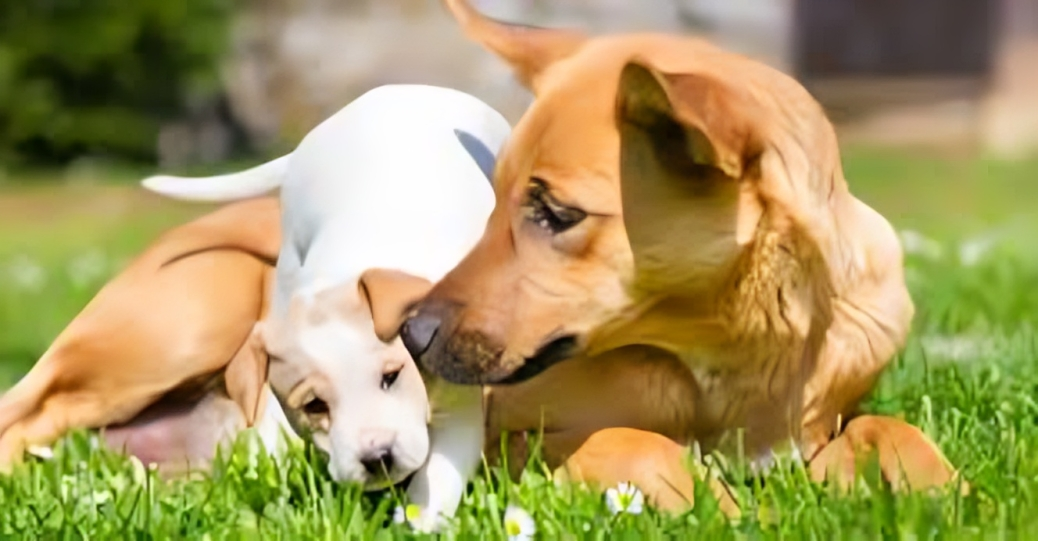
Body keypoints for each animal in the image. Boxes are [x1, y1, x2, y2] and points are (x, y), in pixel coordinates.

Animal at [142, 84, 511, 529]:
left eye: (391, 377)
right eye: (315, 405)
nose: (378, 456)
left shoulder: (458, 406)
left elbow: (436, 476)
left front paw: (419, 523)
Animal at [399, 0, 963, 509]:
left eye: (557, 213)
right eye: (495, 200)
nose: (411, 334)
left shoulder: (811, 439)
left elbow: (886, 426)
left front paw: (947, 492)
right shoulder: (505, 442)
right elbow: (633, 440)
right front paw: (727, 509)